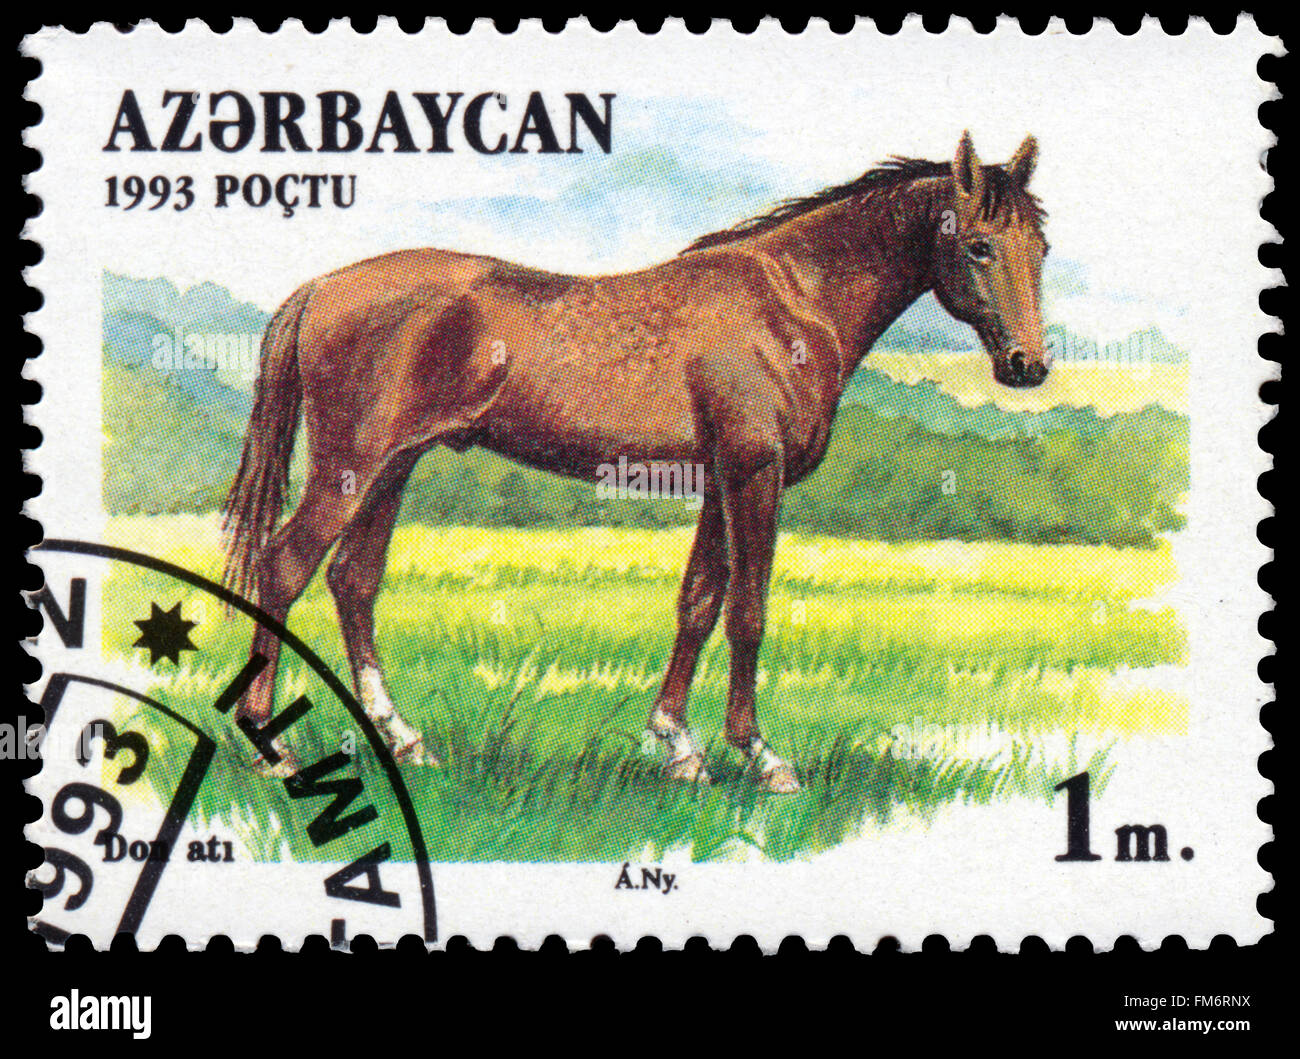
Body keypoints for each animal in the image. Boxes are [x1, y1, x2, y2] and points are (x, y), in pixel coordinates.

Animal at [222, 131, 1049, 791]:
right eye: (979, 244)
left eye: (1039, 247)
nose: (1028, 365)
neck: (791, 301)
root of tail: (322, 287)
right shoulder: (755, 471)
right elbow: (748, 611)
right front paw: (759, 755)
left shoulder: (719, 477)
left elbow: (700, 603)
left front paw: (678, 745)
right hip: (351, 467)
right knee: (286, 564)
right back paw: (271, 748)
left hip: (395, 467)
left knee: (353, 580)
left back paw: (402, 738)